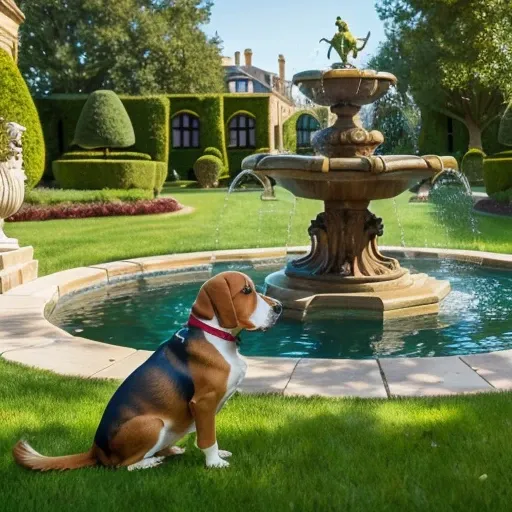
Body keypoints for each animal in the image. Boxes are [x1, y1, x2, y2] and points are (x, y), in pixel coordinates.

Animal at [12, 272, 282, 472]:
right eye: (246, 291)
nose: (279, 307)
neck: (217, 335)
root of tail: (96, 449)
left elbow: (208, 435)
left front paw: (218, 454)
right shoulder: (203, 403)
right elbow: (207, 438)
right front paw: (214, 463)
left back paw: (171, 451)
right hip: (152, 423)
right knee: (124, 465)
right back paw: (150, 462)